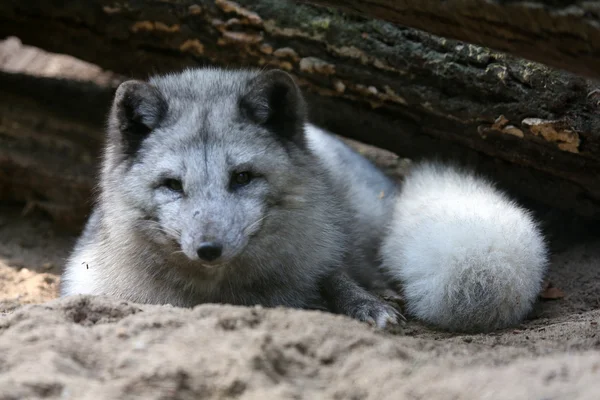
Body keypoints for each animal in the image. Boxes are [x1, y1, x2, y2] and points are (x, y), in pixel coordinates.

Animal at [62, 68, 548, 332]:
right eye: (172, 185)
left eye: (242, 177)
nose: (208, 249)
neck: (222, 291)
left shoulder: (320, 256)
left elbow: (331, 275)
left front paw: (366, 306)